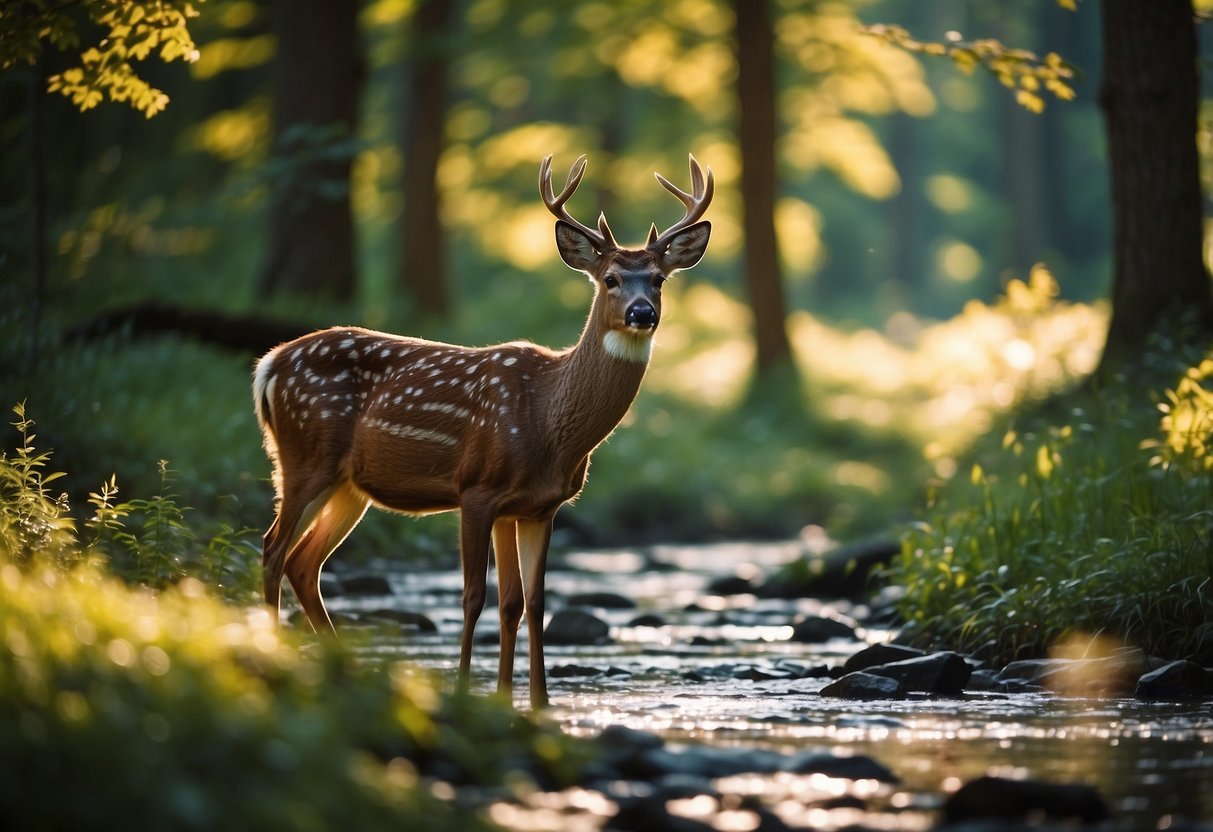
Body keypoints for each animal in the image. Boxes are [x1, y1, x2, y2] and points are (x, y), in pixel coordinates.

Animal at [255, 153, 708, 708]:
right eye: (611, 279)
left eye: (660, 279)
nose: (642, 313)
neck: (547, 421)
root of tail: (269, 365)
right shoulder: (475, 489)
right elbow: (474, 596)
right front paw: (468, 692)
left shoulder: (535, 507)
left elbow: (526, 602)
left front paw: (530, 702)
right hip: (304, 456)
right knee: (273, 550)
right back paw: (276, 659)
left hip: (349, 486)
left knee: (304, 562)